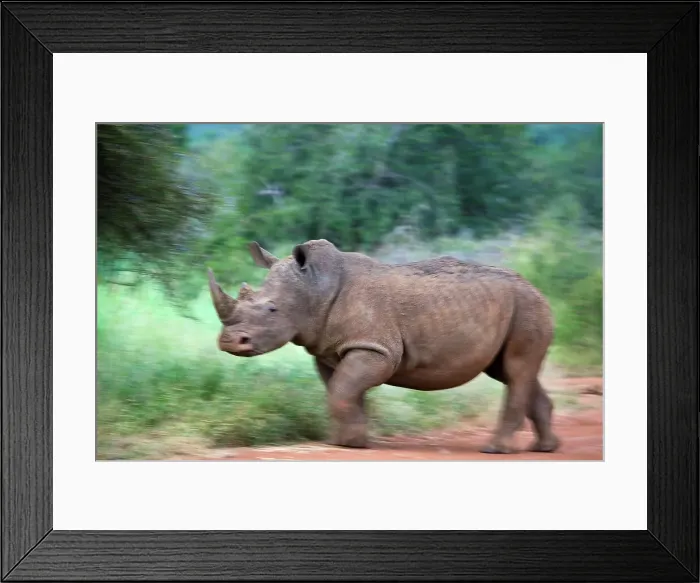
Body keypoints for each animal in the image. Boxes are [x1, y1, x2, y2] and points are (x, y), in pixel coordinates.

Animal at [207, 239, 560, 454]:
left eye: (271, 309)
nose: (229, 342)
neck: (313, 288)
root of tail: (537, 289)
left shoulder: (376, 349)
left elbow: (343, 390)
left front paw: (350, 444)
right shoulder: (330, 349)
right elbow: (342, 390)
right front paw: (349, 441)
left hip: (528, 307)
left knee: (516, 371)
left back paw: (496, 450)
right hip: (519, 309)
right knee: (512, 372)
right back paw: (545, 448)